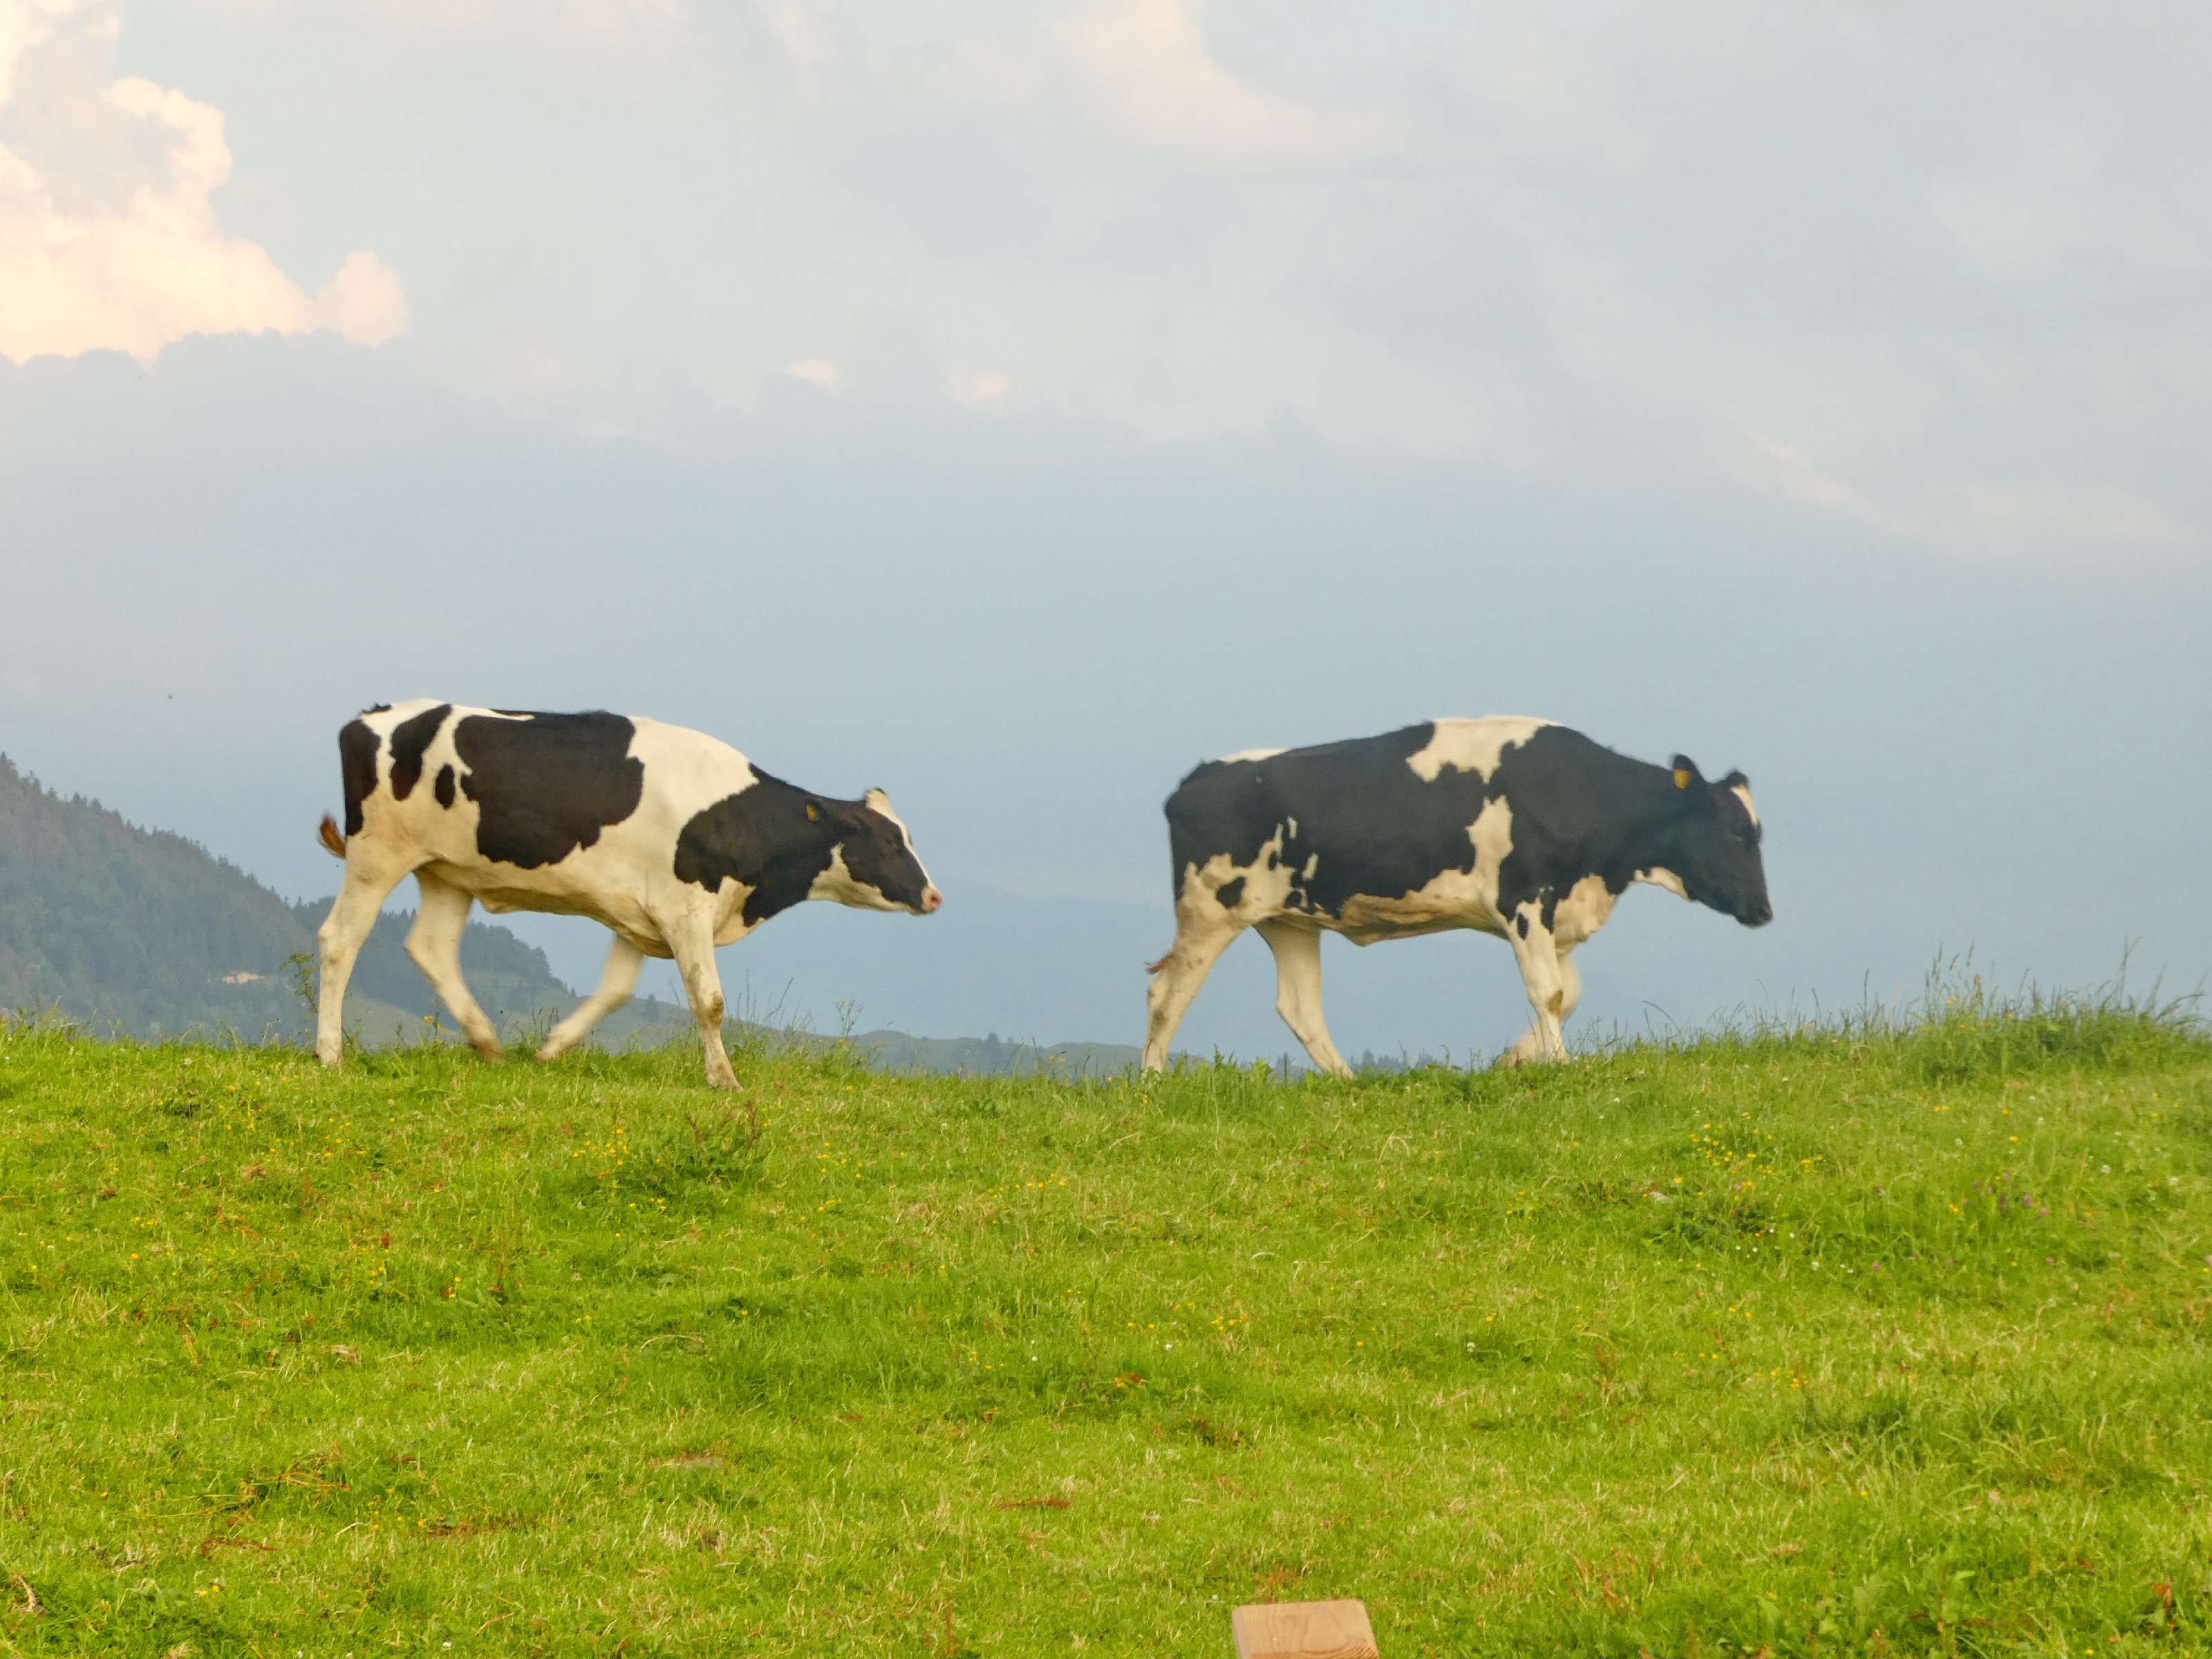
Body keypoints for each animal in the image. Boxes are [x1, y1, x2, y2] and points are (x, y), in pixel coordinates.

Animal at [314, 700, 941, 1088]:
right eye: (889, 840)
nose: (934, 896)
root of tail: (371, 717)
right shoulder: (686, 907)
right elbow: (710, 1001)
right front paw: (725, 1079)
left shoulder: (640, 917)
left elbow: (615, 992)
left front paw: (553, 1047)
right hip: (377, 856)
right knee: (340, 939)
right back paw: (329, 1053)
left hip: (448, 872)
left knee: (431, 947)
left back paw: (486, 1040)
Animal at [1140, 718, 1770, 1077]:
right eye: (1736, 833)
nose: (1765, 911)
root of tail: (1193, 780)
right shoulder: (1525, 900)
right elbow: (1548, 991)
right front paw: (1562, 1065)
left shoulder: (1558, 914)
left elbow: (1567, 994)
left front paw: (1516, 1058)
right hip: (1209, 910)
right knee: (1167, 996)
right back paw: (1152, 1083)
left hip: (1291, 920)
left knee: (1300, 1007)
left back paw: (1348, 1082)